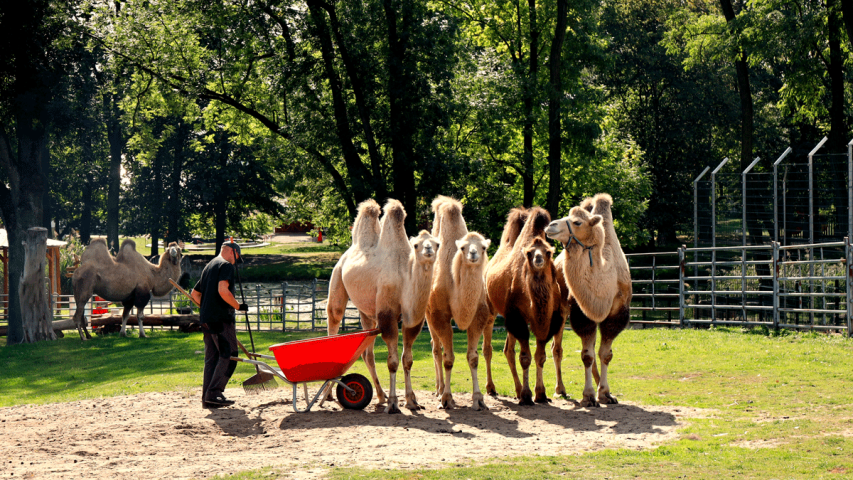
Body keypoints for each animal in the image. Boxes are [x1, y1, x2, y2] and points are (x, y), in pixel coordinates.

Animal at [326, 199, 440, 412]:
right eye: (416, 245)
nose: (428, 250)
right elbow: (393, 361)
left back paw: (380, 396)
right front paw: (394, 404)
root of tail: (346, 253)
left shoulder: (412, 320)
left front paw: (411, 401)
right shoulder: (387, 313)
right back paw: (329, 393)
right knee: (334, 319)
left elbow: (407, 360)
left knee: (367, 353)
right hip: (337, 278)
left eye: (437, 243)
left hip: (367, 311)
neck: (404, 276)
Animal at [424, 197, 492, 410]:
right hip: (427, 314)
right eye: (463, 248)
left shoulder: (478, 315)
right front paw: (446, 398)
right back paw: (439, 390)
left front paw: (478, 399)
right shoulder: (440, 315)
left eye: (483, 247)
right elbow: (448, 358)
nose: (473, 254)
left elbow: (473, 357)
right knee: (436, 349)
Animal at [482, 207, 568, 404]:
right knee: (488, 347)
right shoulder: (518, 317)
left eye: (548, 252)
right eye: (529, 252)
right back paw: (492, 388)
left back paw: (517, 389)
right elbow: (525, 358)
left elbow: (540, 356)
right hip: (491, 309)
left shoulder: (547, 320)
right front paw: (528, 395)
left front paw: (540, 393)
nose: (538, 259)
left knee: (508, 350)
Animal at [544, 193, 632, 406]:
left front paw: (605, 393)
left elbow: (605, 354)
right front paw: (589, 396)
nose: (550, 225)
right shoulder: (581, 313)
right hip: (561, 309)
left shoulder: (617, 314)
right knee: (557, 348)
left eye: (577, 222)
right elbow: (586, 356)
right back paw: (560, 389)